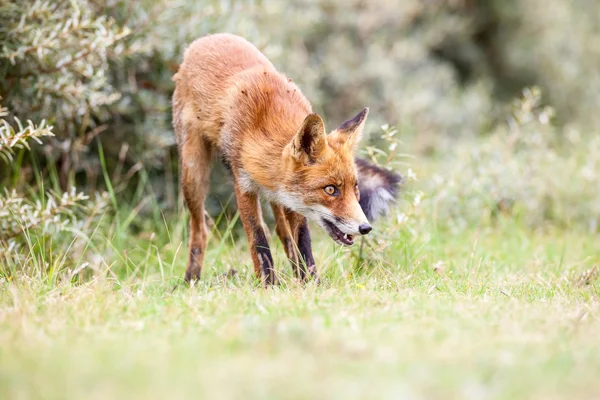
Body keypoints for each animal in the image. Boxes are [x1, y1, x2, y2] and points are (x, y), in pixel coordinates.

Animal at [172, 34, 398, 284]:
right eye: (330, 189)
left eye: (355, 187)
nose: (365, 227)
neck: (263, 125)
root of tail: (205, 40)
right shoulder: (243, 186)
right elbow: (258, 239)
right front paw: (269, 284)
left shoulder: (293, 200)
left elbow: (302, 241)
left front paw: (311, 283)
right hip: (193, 176)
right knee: (200, 229)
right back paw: (191, 280)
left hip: (278, 197)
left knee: (282, 232)